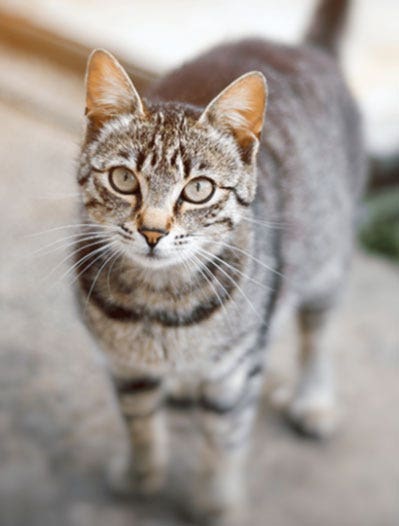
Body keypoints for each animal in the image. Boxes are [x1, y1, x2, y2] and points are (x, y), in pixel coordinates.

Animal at [73, 0, 368, 520]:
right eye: (124, 180)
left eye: (198, 189)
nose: (152, 231)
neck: (160, 307)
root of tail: (307, 49)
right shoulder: (126, 368)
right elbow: (139, 424)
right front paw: (141, 475)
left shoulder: (237, 370)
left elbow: (225, 439)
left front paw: (216, 502)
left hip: (327, 259)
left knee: (317, 336)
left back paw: (314, 398)